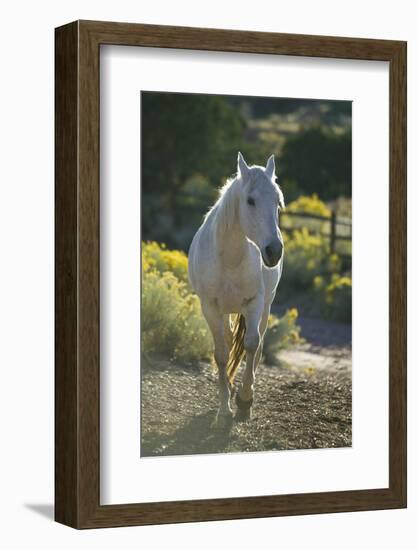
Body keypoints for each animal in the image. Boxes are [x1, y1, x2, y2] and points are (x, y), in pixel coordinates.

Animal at [188, 153, 282, 430]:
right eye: (250, 200)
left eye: (278, 202)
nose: (274, 251)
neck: (229, 258)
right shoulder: (210, 307)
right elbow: (221, 353)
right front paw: (223, 411)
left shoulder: (254, 302)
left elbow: (251, 345)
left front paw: (244, 402)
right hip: (226, 311)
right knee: (229, 342)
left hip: (266, 306)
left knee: (257, 346)